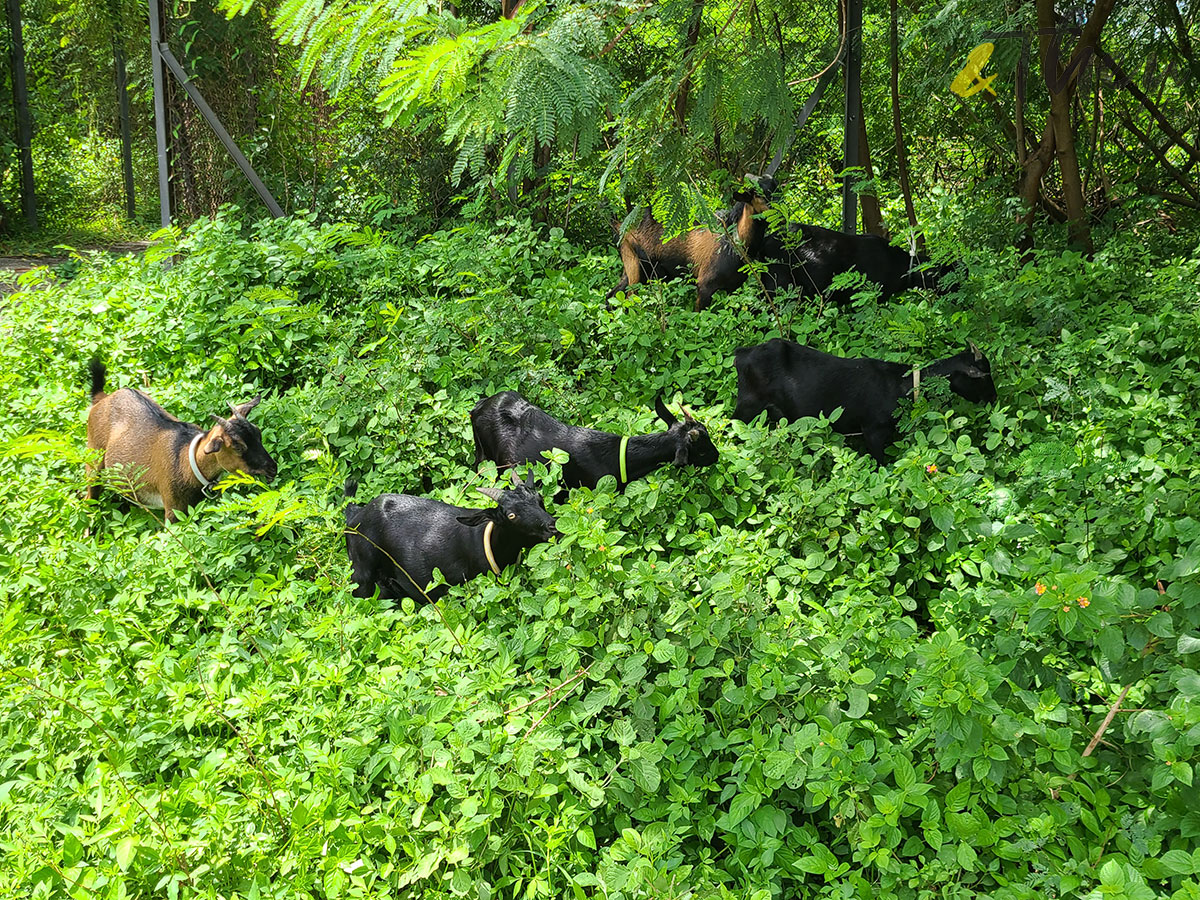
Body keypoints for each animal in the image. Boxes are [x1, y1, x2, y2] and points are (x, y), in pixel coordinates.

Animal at [84, 360, 276, 525]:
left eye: (258, 433)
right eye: (237, 446)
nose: (272, 468)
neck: (187, 460)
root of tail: (101, 399)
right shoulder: (173, 509)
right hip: (93, 460)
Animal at [609, 176, 777, 314]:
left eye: (775, 188)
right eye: (758, 195)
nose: (776, 210)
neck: (732, 242)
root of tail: (621, 227)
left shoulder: (733, 287)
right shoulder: (704, 286)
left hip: (633, 268)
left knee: (612, 296)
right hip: (636, 267)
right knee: (629, 298)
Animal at [734, 338, 998, 465]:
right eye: (984, 375)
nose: (994, 399)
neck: (901, 384)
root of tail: (742, 354)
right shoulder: (873, 431)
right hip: (747, 406)